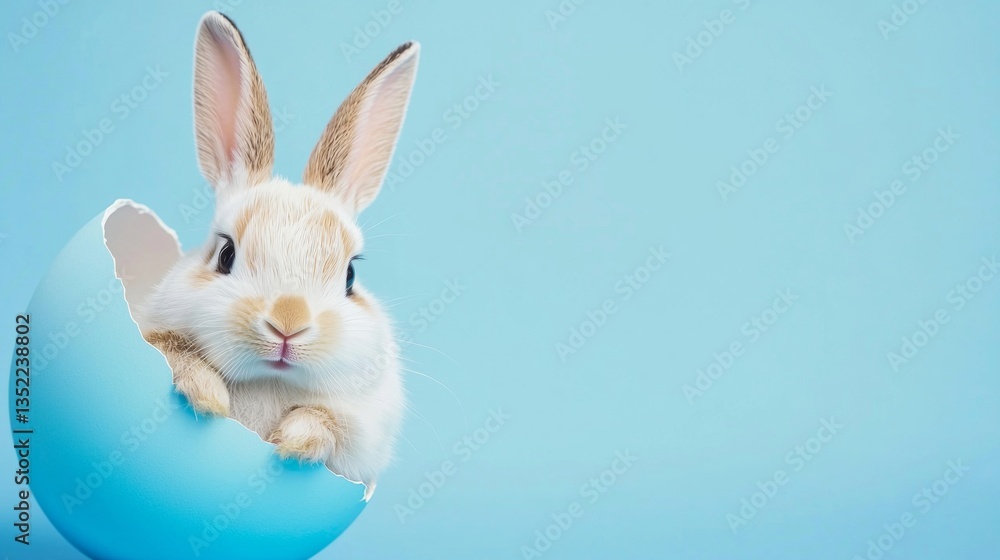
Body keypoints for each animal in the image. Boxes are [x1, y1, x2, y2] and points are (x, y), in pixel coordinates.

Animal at [137, 11, 419, 499]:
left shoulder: (364, 433)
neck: (270, 379)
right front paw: (209, 395)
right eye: (225, 254)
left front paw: (296, 440)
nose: (289, 324)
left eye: (350, 276)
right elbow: (174, 351)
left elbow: (330, 422)